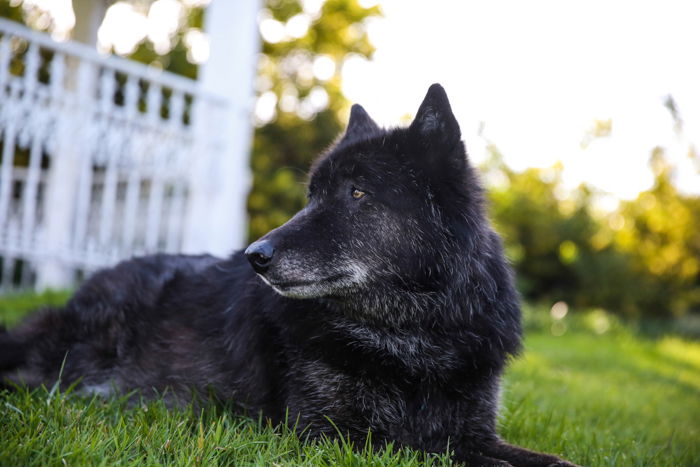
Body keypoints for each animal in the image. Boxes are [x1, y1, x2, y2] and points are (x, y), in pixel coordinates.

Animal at [1, 86, 576, 466]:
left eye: (357, 192)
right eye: (312, 195)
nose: (254, 255)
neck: (409, 335)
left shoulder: (476, 431)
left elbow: (548, 459)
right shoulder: (333, 436)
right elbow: (435, 454)